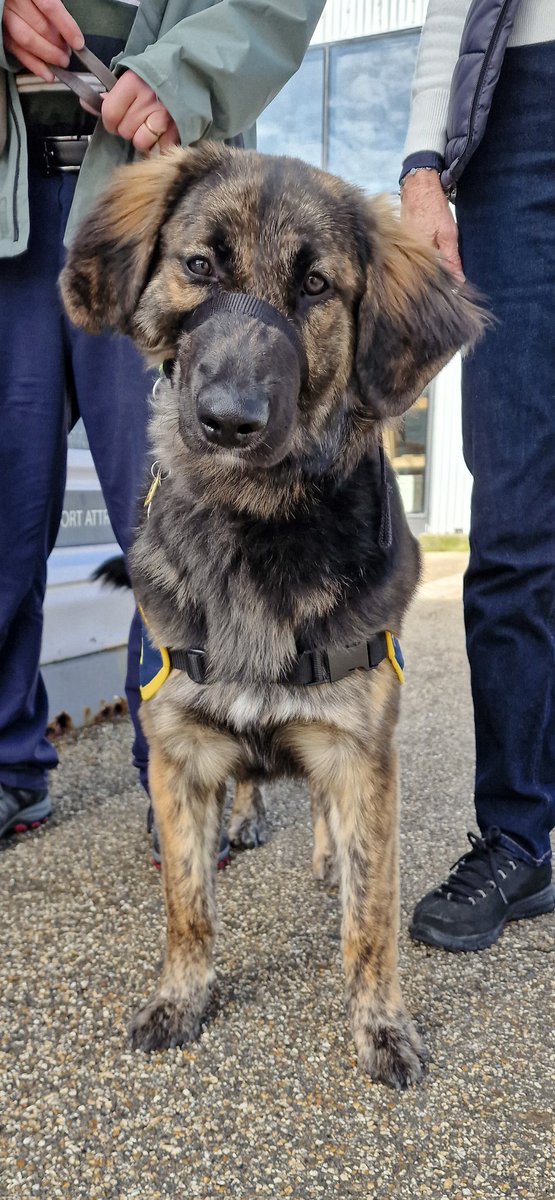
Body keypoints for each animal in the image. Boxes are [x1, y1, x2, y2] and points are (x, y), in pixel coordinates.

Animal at [61, 142, 485, 1089]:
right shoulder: (178, 754)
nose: (227, 422)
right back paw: (246, 814)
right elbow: (187, 904)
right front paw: (182, 996)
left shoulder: (361, 753)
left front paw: (379, 1025)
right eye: (198, 266)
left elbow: (369, 921)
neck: (253, 527)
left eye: (317, 287)